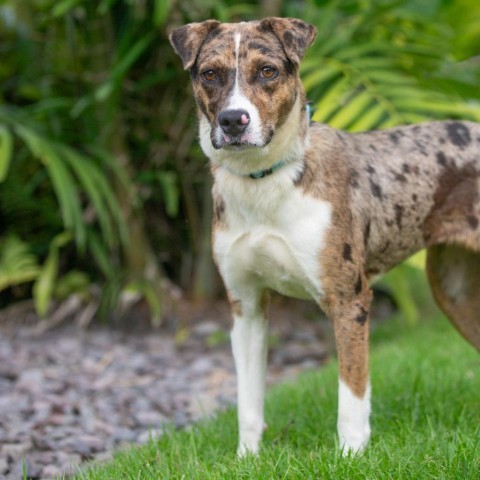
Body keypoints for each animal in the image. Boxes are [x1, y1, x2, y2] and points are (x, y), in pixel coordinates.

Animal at [169, 16, 480, 456]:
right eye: (210, 74)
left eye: (268, 71)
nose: (233, 120)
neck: (264, 179)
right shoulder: (246, 306)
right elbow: (248, 400)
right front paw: (247, 457)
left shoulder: (349, 300)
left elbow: (351, 393)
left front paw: (351, 455)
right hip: (457, 292)